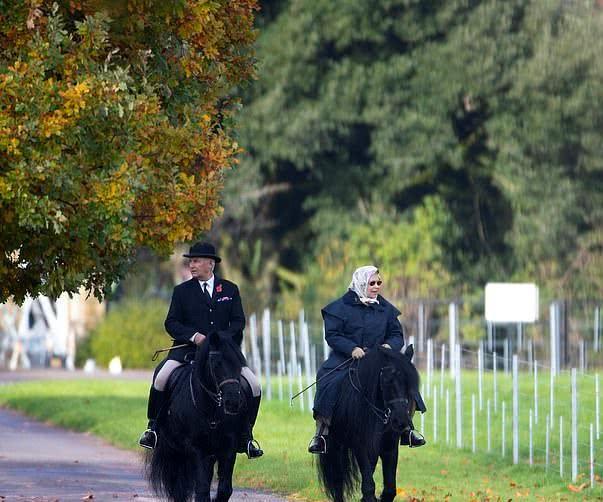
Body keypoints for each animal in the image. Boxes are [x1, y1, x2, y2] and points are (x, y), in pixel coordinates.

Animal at [146, 332, 248, 500]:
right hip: (174, 449)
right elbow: (201, 489)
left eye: (239, 364)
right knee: (178, 487)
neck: (212, 411)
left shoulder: (228, 446)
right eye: (216, 364)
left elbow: (224, 489)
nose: (233, 402)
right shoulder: (197, 448)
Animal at [318, 346, 422, 502]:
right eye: (387, 381)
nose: (401, 421)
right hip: (336, 445)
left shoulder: (389, 446)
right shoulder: (360, 445)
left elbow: (389, 489)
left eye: (409, 382)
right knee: (338, 480)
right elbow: (368, 486)